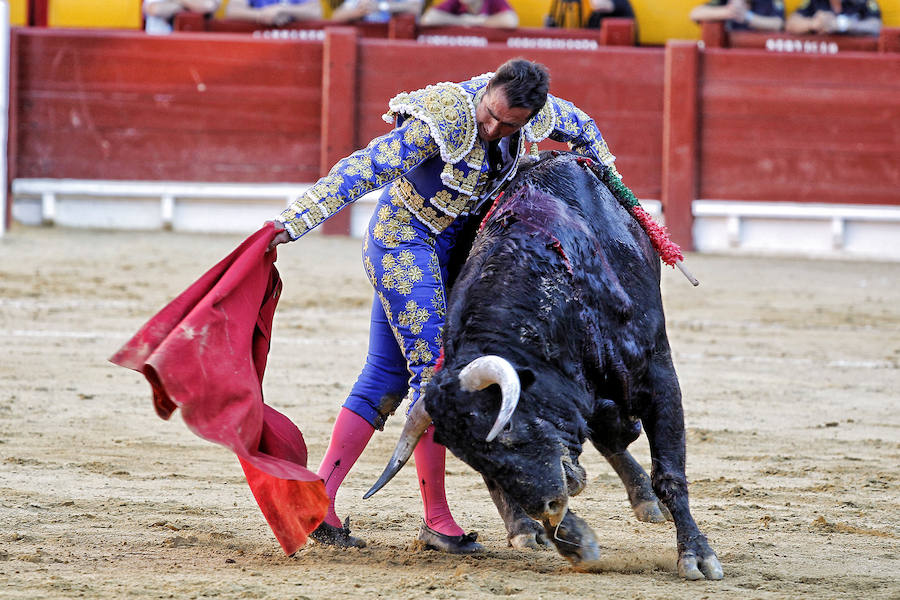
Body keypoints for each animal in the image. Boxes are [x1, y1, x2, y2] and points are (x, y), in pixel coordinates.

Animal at [362, 152, 720, 580]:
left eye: (510, 429)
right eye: (471, 457)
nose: (548, 508)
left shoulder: (658, 373)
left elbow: (668, 471)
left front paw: (697, 555)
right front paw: (572, 539)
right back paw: (524, 528)